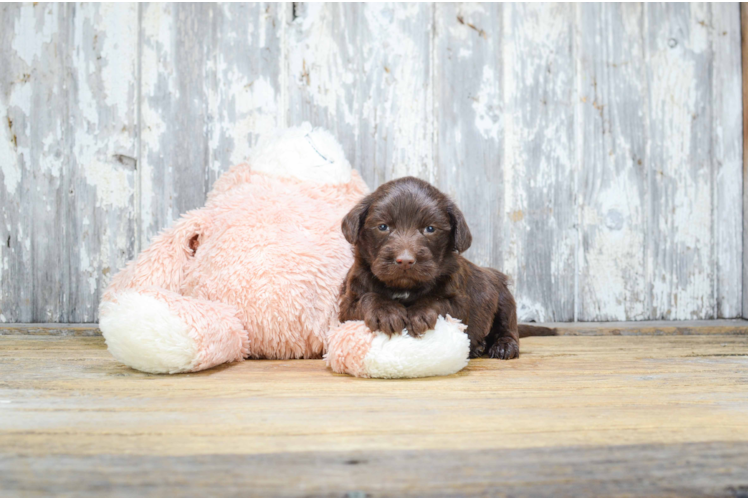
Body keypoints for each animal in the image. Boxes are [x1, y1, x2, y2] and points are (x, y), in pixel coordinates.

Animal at [340, 176, 520, 360]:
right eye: (383, 226)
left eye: (430, 228)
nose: (405, 261)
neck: (403, 287)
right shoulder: (347, 306)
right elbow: (368, 297)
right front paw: (386, 312)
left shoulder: (459, 302)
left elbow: (437, 299)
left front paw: (419, 313)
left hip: (504, 299)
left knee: (507, 328)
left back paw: (503, 346)